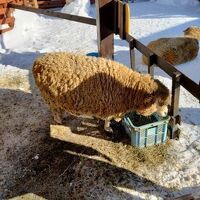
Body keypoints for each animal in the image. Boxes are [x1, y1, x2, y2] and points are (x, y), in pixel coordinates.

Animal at [32, 52, 170, 132]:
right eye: (160, 102)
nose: (166, 113)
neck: (129, 87)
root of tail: (38, 61)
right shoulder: (110, 106)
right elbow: (108, 119)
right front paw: (107, 128)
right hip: (49, 97)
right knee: (54, 110)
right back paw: (59, 119)